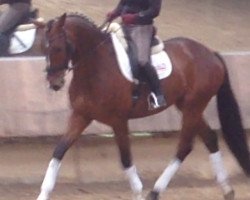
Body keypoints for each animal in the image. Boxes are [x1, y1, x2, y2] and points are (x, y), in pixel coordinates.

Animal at [36, 12, 249, 200]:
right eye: (44, 49)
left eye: (57, 48)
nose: (54, 83)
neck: (96, 65)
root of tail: (210, 53)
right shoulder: (81, 116)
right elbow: (58, 152)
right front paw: (43, 194)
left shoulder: (119, 120)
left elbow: (126, 158)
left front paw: (138, 192)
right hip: (189, 107)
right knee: (210, 138)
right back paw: (227, 190)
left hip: (193, 107)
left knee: (184, 147)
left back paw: (155, 192)